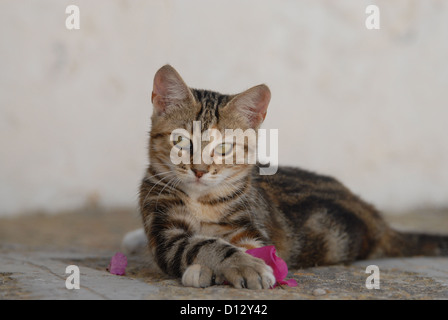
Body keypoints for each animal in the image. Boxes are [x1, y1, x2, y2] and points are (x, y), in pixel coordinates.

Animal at [136, 65, 448, 290]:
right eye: (181, 141)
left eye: (224, 147)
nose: (199, 170)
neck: (202, 202)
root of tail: (377, 219)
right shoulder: (165, 232)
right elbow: (202, 244)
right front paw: (224, 265)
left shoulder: (250, 227)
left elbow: (250, 248)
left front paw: (245, 265)